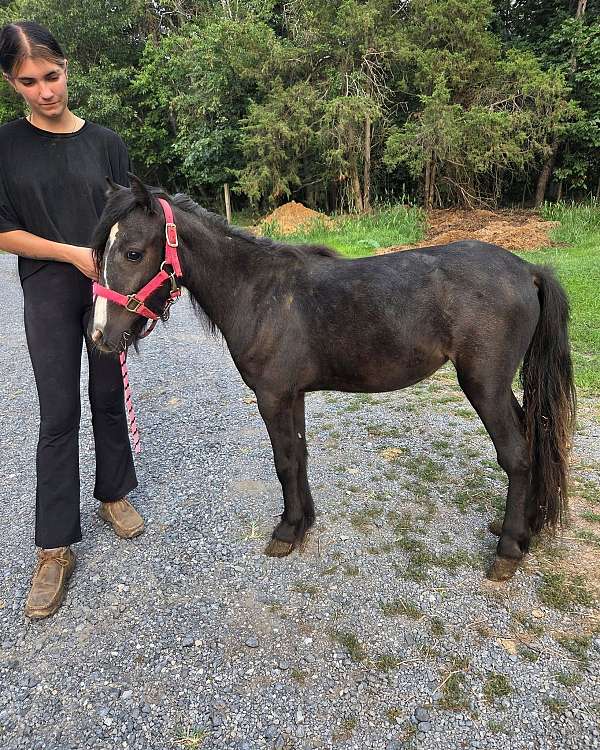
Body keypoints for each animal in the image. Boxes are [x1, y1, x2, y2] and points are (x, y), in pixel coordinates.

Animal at [89, 175, 576, 582]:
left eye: (132, 252)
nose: (99, 336)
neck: (258, 292)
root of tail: (528, 269)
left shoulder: (272, 396)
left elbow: (284, 462)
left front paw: (286, 532)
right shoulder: (293, 396)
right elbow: (299, 457)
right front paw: (304, 521)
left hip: (484, 386)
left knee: (517, 456)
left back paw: (508, 549)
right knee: (534, 439)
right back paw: (526, 527)